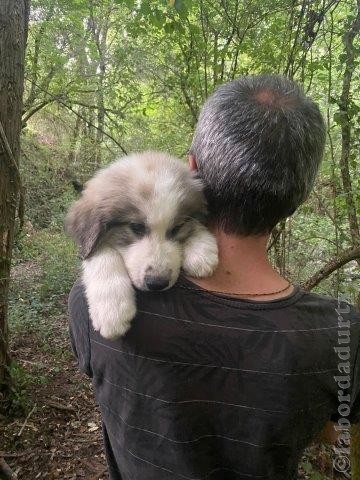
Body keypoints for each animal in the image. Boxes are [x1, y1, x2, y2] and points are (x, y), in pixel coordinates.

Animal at [65, 152, 218, 340]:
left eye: (177, 228)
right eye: (136, 227)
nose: (157, 283)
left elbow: (196, 225)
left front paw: (202, 251)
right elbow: (101, 251)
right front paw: (112, 308)